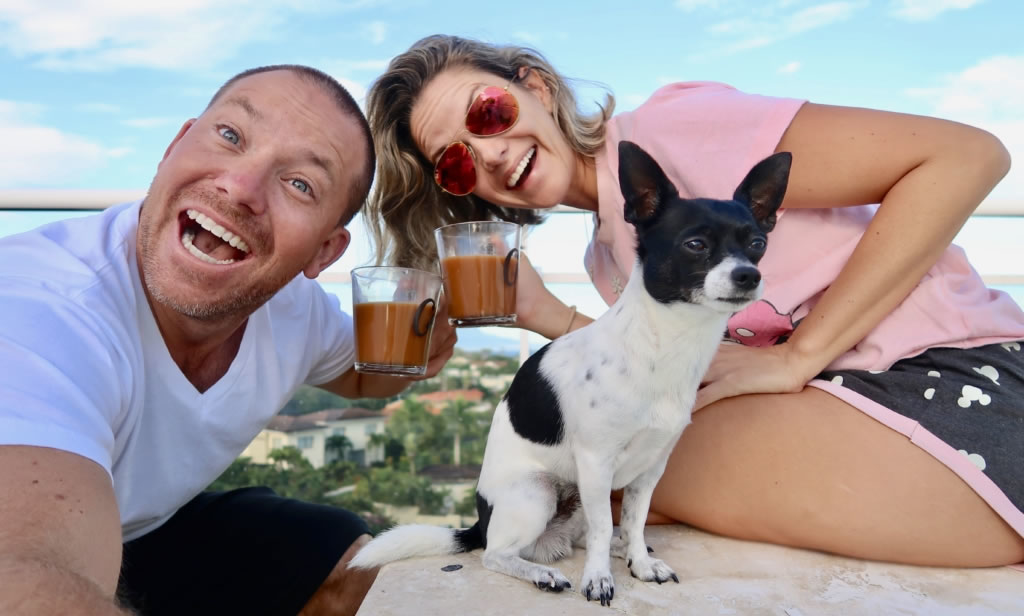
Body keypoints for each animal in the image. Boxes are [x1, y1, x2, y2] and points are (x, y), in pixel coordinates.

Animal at [352, 140, 790, 605]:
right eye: (695, 244)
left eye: (758, 243)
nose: (749, 274)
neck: (665, 344)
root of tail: (481, 521)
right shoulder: (597, 463)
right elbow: (602, 528)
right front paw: (597, 579)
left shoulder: (651, 468)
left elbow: (634, 520)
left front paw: (639, 562)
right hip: (537, 492)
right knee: (498, 554)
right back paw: (541, 572)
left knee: (589, 534)